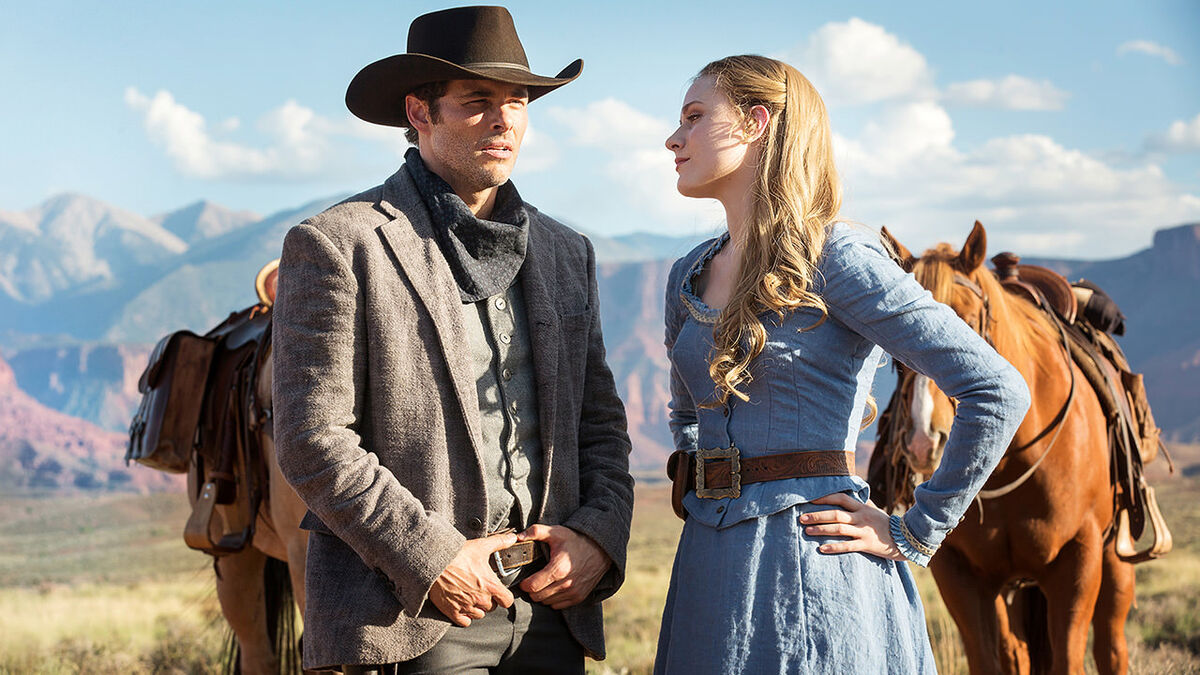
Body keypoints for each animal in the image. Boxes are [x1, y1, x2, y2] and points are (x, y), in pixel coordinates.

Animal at [878, 222, 1128, 672]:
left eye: (966, 323)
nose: (925, 441)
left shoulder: (1078, 560)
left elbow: (1069, 657)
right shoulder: (960, 573)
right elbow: (989, 658)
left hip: (1116, 559)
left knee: (1110, 646)